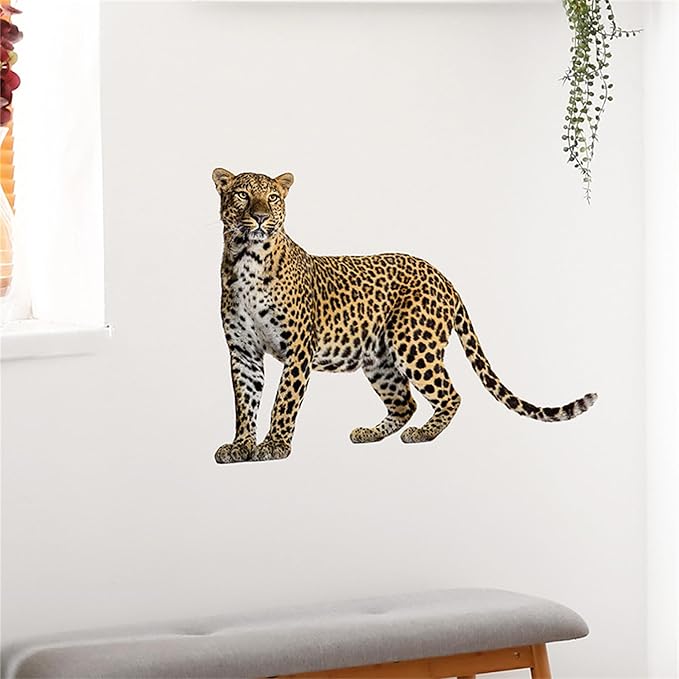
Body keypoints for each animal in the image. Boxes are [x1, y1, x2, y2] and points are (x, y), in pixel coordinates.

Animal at [212, 168, 597, 463]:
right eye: (243, 195)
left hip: (413, 344)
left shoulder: (298, 349)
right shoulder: (243, 352)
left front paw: (274, 445)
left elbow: (284, 400)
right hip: (380, 358)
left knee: (450, 395)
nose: (261, 217)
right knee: (404, 403)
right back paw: (369, 433)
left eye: (273, 197)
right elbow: (245, 402)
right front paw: (241, 446)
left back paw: (423, 434)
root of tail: (443, 276)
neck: (246, 259)